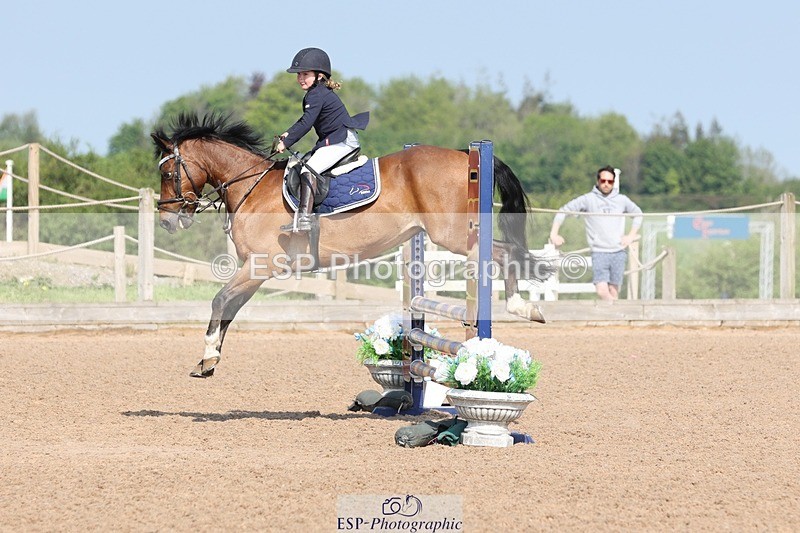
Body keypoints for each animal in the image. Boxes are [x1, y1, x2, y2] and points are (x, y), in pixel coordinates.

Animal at [151, 113, 551, 377]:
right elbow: (230, 309)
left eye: (167, 173)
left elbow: (220, 300)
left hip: (452, 234)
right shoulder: (255, 271)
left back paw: (523, 307)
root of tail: (465, 155)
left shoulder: (259, 265)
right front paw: (210, 360)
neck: (251, 186)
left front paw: (207, 356)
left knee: (505, 253)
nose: (168, 220)